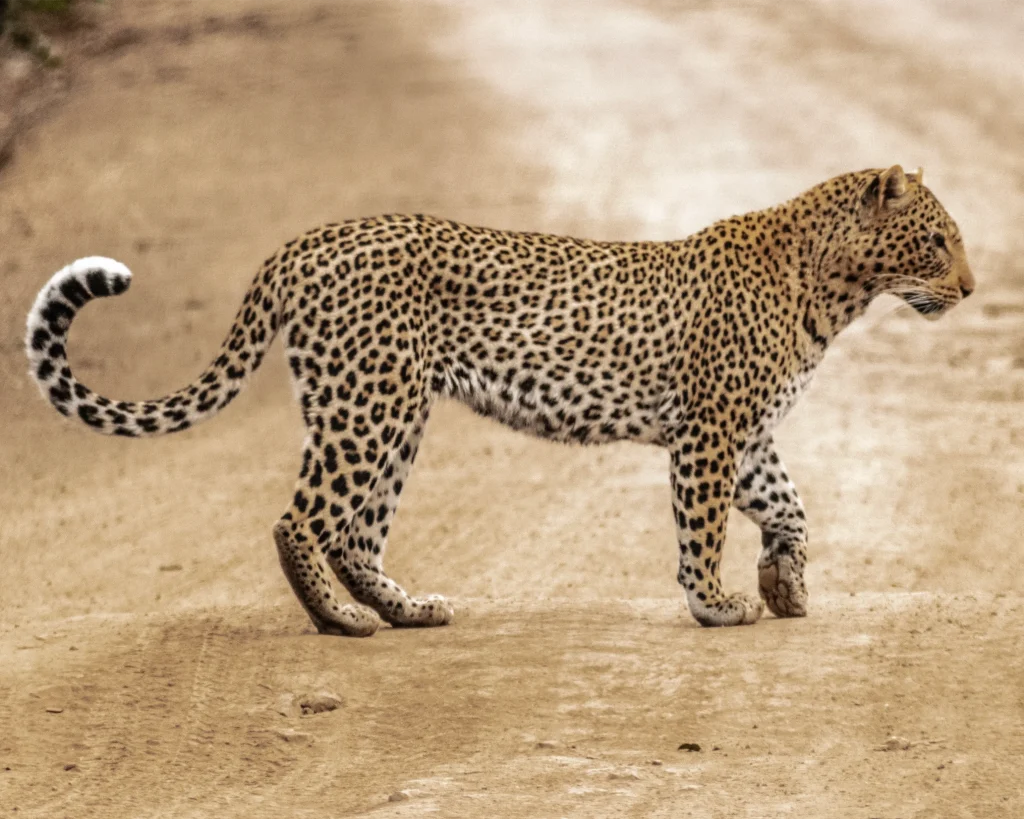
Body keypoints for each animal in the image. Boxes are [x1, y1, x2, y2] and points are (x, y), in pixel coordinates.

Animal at [25, 164, 974, 636]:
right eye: (936, 241)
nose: (970, 288)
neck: (836, 289)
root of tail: (303, 242)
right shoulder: (710, 430)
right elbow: (702, 527)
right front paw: (715, 603)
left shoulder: (747, 433)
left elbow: (793, 506)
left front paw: (785, 583)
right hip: (368, 404)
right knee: (301, 520)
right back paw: (342, 621)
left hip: (394, 410)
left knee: (355, 531)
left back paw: (405, 610)